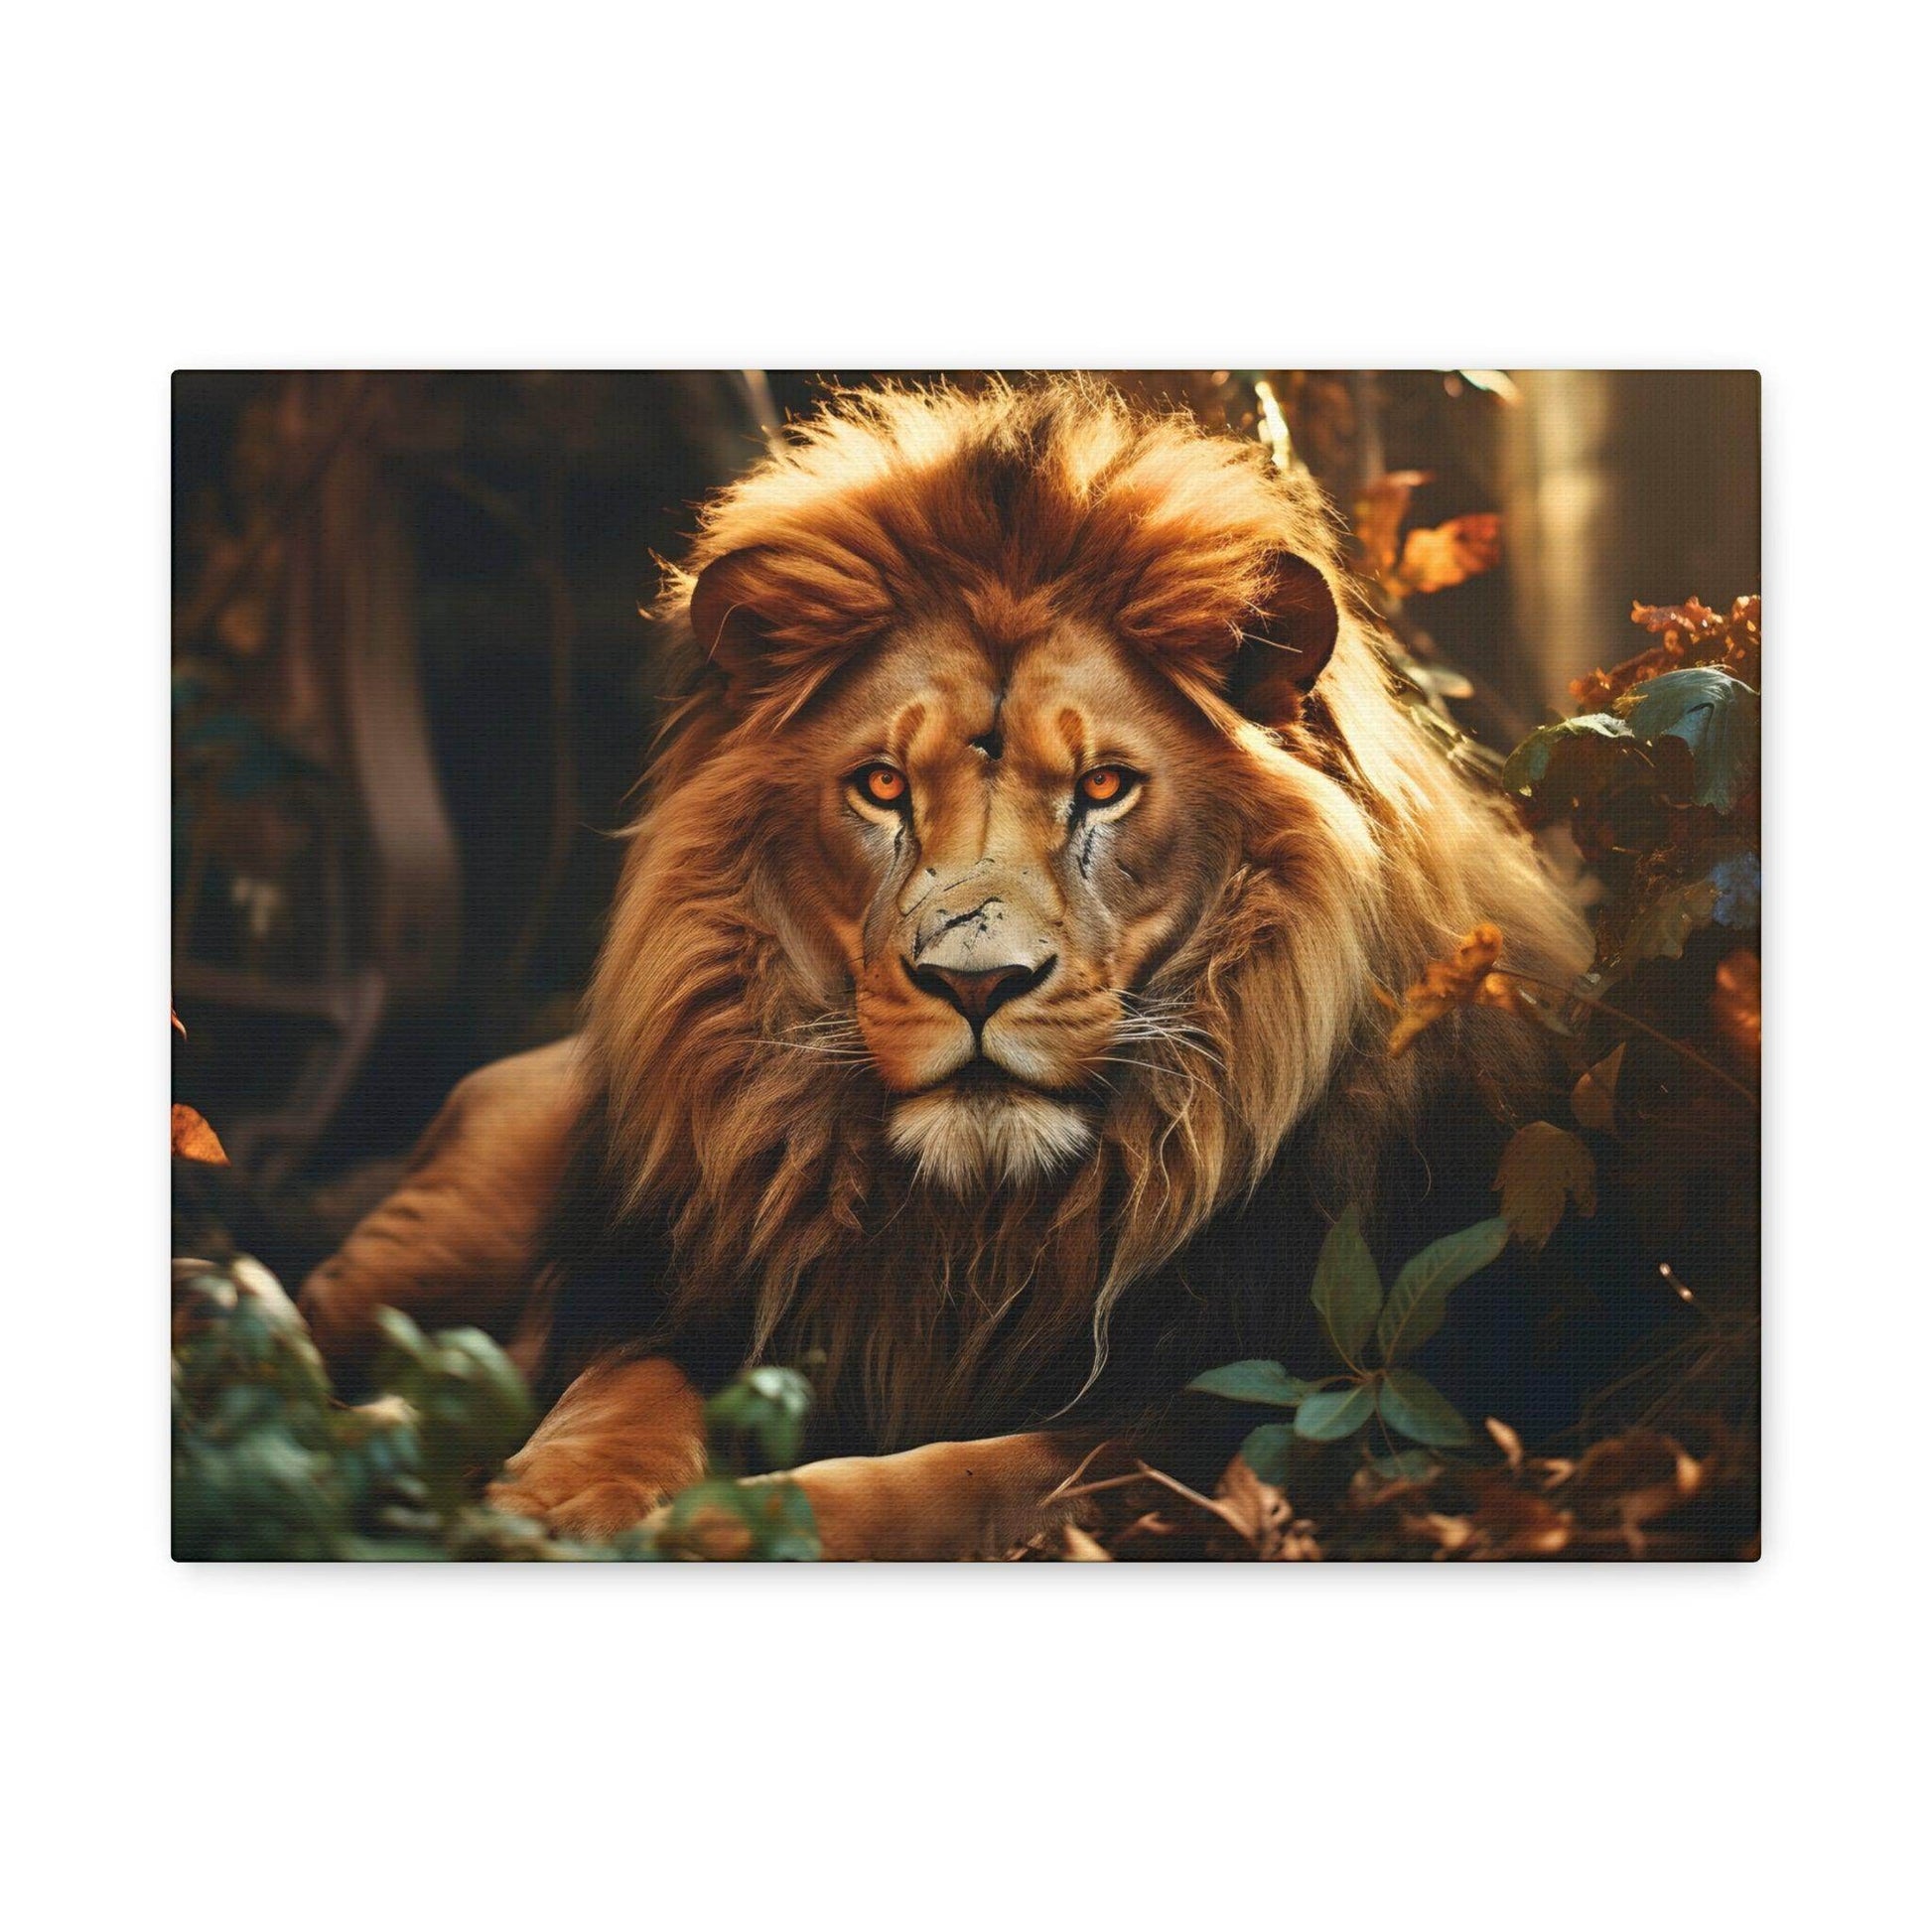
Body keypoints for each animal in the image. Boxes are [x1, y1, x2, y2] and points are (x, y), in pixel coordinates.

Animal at [300, 377, 1591, 1557]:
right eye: (882, 786)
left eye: (1103, 785)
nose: (977, 984)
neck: (972, 1228)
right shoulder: (671, 1302)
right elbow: (618, 1391)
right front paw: (551, 1500)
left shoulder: (1240, 1417)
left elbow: (952, 1478)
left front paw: (721, 1520)